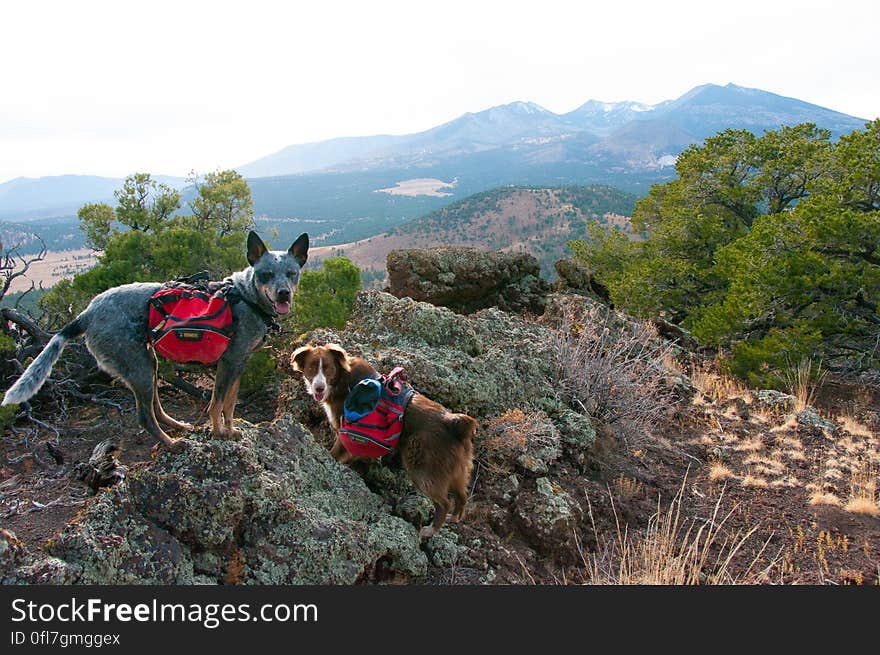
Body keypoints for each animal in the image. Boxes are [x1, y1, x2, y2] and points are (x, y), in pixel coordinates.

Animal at [1, 231, 310, 452]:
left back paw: (178, 427)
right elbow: (216, 404)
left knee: (154, 407)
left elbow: (230, 402)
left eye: (291, 274)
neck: (246, 297)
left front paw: (231, 430)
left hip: (148, 363)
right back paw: (171, 444)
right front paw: (219, 433)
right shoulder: (229, 362)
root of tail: (86, 313)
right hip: (138, 367)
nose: (283, 293)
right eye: (266, 274)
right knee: (144, 416)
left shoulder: (239, 363)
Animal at [290, 344, 474, 540]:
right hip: (458, 469)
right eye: (311, 368)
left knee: (444, 502)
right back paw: (454, 518)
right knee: (462, 495)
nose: (318, 388)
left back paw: (431, 529)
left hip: (422, 468)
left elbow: (335, 453)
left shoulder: (345, 430)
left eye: (328, 369)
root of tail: (454, 424)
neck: (343, 380)